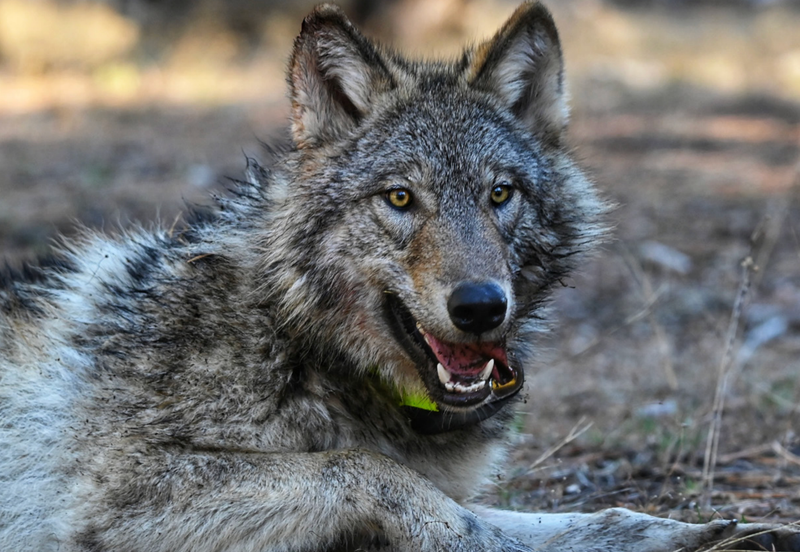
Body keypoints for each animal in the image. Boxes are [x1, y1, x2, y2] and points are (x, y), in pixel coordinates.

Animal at [1, 2, 798, 551]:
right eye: (401, 198)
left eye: (499, 194)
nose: (481, 307)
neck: (297, 341)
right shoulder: (116, 497)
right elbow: (380, 477)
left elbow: (585, 519)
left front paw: (709, 533)